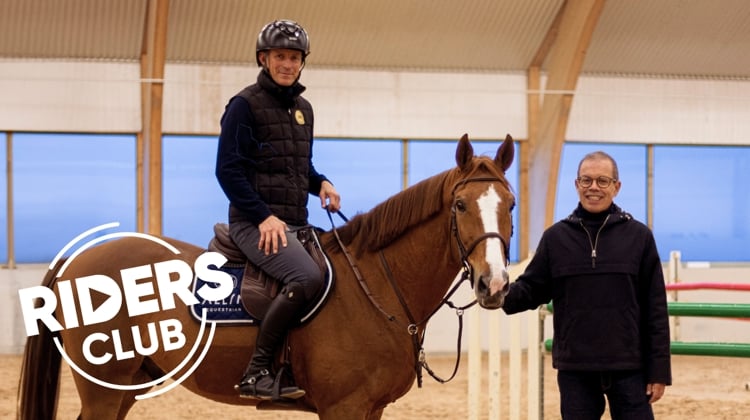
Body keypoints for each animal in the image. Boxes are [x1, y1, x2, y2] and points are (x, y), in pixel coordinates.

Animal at [17, 135, 516, 420]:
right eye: (460, 205)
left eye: (510, 204)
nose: (493, 284)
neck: (373, 286)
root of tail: (78, 259)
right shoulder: (344, 408)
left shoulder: (369, 409)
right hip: (104, 390)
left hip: (128, 386)